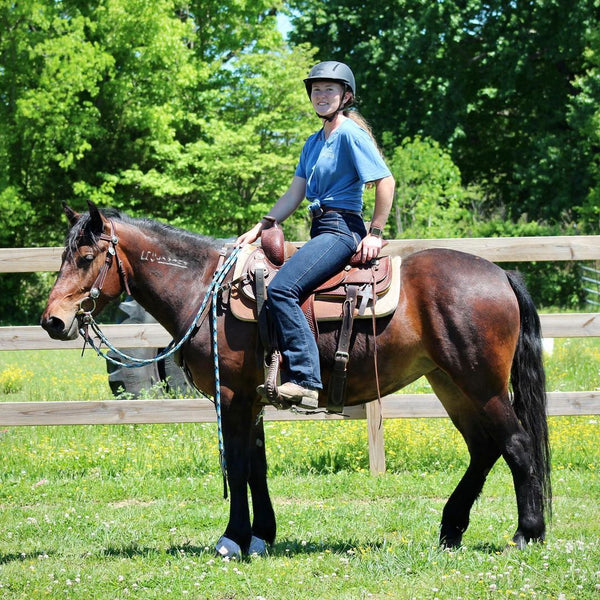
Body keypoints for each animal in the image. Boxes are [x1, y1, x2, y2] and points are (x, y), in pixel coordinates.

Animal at [39, 203, 552, 556]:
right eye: (65, 255)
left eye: (86, 255)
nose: (52, 321)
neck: (206, 291)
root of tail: (500, 274)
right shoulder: (250, 400)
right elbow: (257, 467)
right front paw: (262, 535)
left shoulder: (231, 398)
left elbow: (238, 467)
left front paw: (233, 539)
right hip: (450, 384)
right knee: (484, 449)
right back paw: (450, 529)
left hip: (482, 384)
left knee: (516, 445)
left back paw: (527, 534)